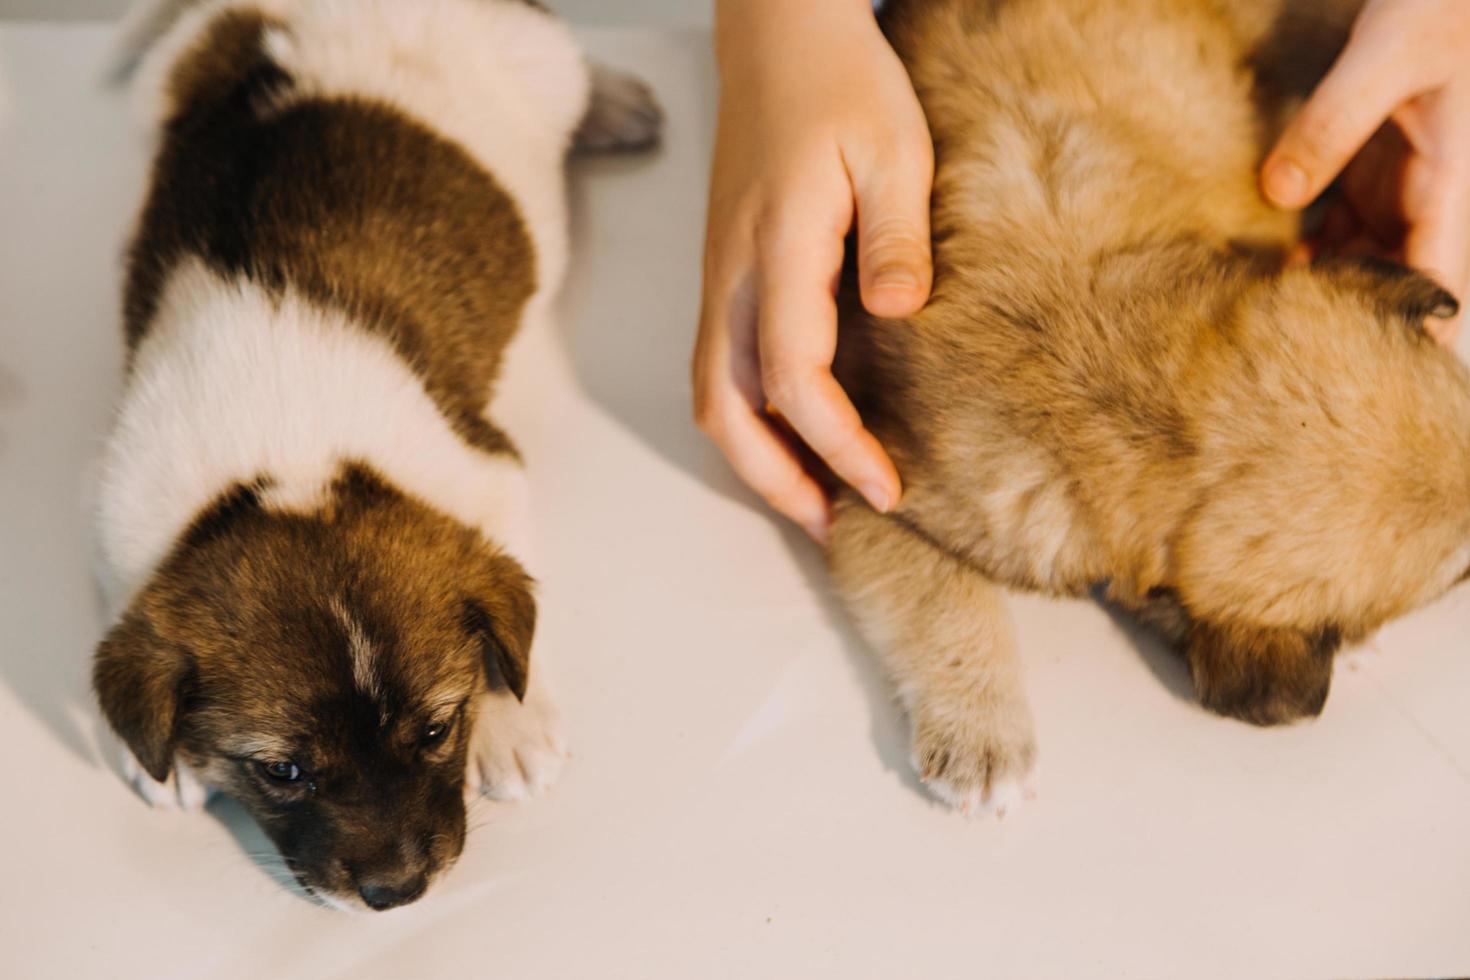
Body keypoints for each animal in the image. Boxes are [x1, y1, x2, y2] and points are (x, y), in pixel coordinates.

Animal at [90, 0, 661, 910]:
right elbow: (124, 588)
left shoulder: (487, 469)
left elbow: (509, 630)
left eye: (436, 729)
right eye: (284, 771)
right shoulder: (121, 496)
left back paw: (610, 102)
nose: (399, 892)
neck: (288, 459)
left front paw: (512, 720)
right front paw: (163, 755)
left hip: (539, 56)